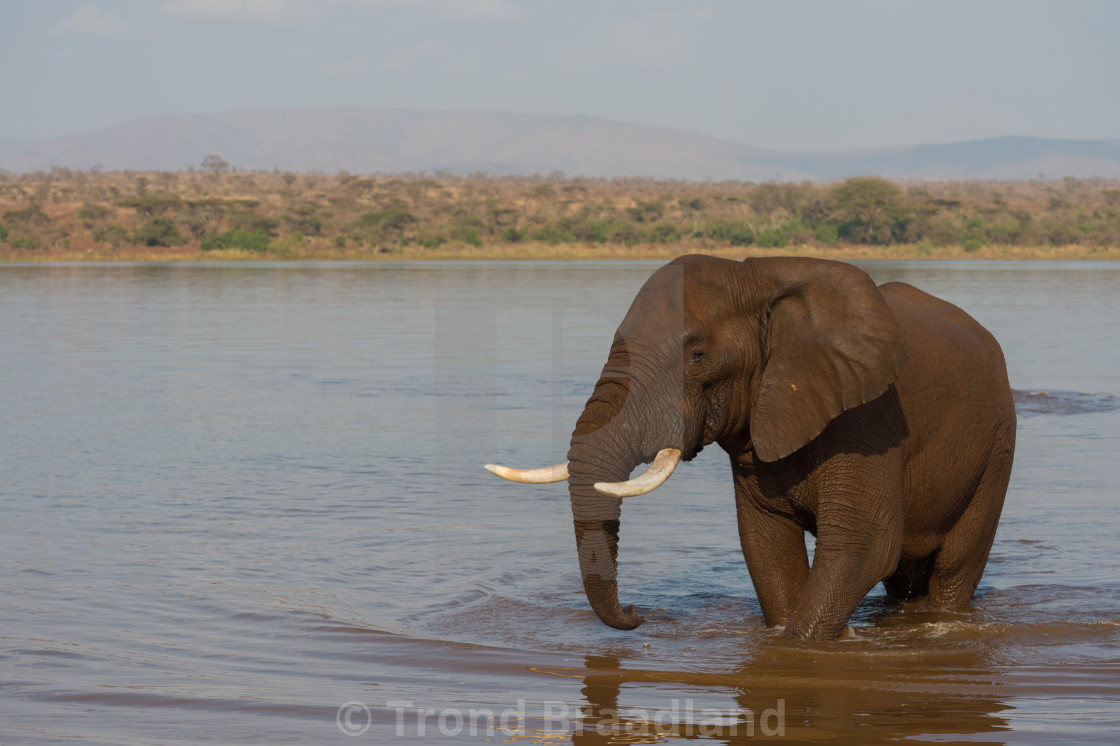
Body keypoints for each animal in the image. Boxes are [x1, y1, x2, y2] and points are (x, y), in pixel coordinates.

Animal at [486, 257, 1012, 640]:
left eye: (697, 356)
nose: (638, 614)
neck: (759, 277)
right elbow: (766, 545)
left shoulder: (868, 418)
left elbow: (864, 545)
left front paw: (795, 648)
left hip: (998, 447)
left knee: (955, 567)